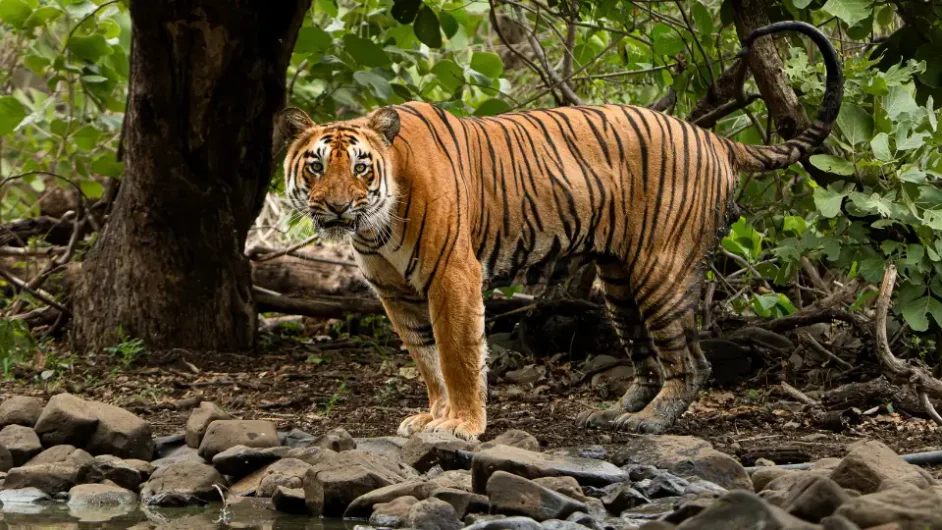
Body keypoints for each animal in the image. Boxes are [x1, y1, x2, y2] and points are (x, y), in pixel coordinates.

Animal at [276, 21, 843, 440]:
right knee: (645, 359)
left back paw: (649, 423)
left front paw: (462, 425)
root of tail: (713, 137)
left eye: (362, 168)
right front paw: (433, 416)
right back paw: (612, 413)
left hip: (661, 270)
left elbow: (458, 356)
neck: (376, 224)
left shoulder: (453, 275)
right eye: (316, 167)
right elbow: (427, 358)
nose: (336, 206)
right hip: (619, 280)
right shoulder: (395, 291)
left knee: (691, 361)